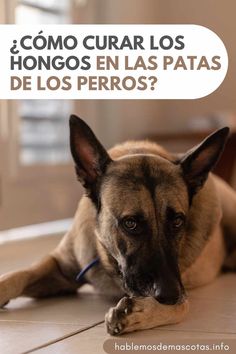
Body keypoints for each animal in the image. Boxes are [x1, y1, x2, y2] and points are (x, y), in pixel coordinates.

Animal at [0, 115, 236, 334]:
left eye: (177, 221)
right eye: (130, 224)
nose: (170, 294)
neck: (108, 260)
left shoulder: (180, 289)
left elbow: (181, 308)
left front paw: (140, 312)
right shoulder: (59, 269)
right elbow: (18, 275)